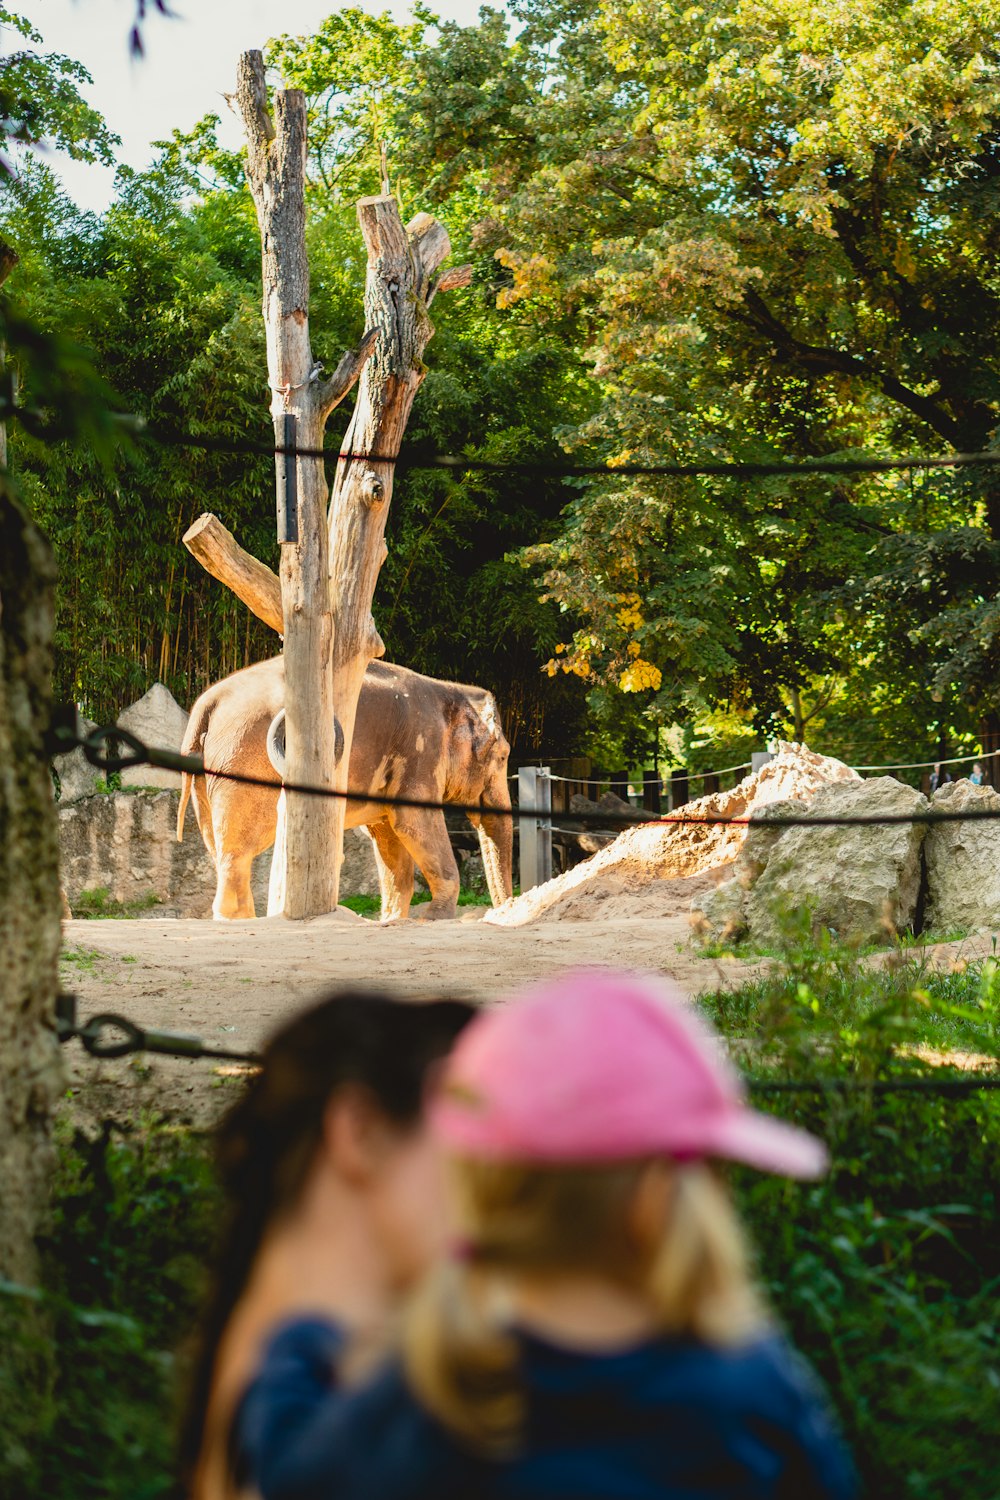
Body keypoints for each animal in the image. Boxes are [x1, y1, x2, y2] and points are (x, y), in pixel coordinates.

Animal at [175, 660, 512, 924]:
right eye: (504, 756)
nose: (500, 912)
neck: (451, 690)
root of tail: (208, 701)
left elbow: (389, 837)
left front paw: (393, 920)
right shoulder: (421, 749)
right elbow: (413, 821)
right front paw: (434, 918)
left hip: (207, 773)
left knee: (217, 847)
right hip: (242, 759)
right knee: (238, 851)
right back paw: (239, 920)